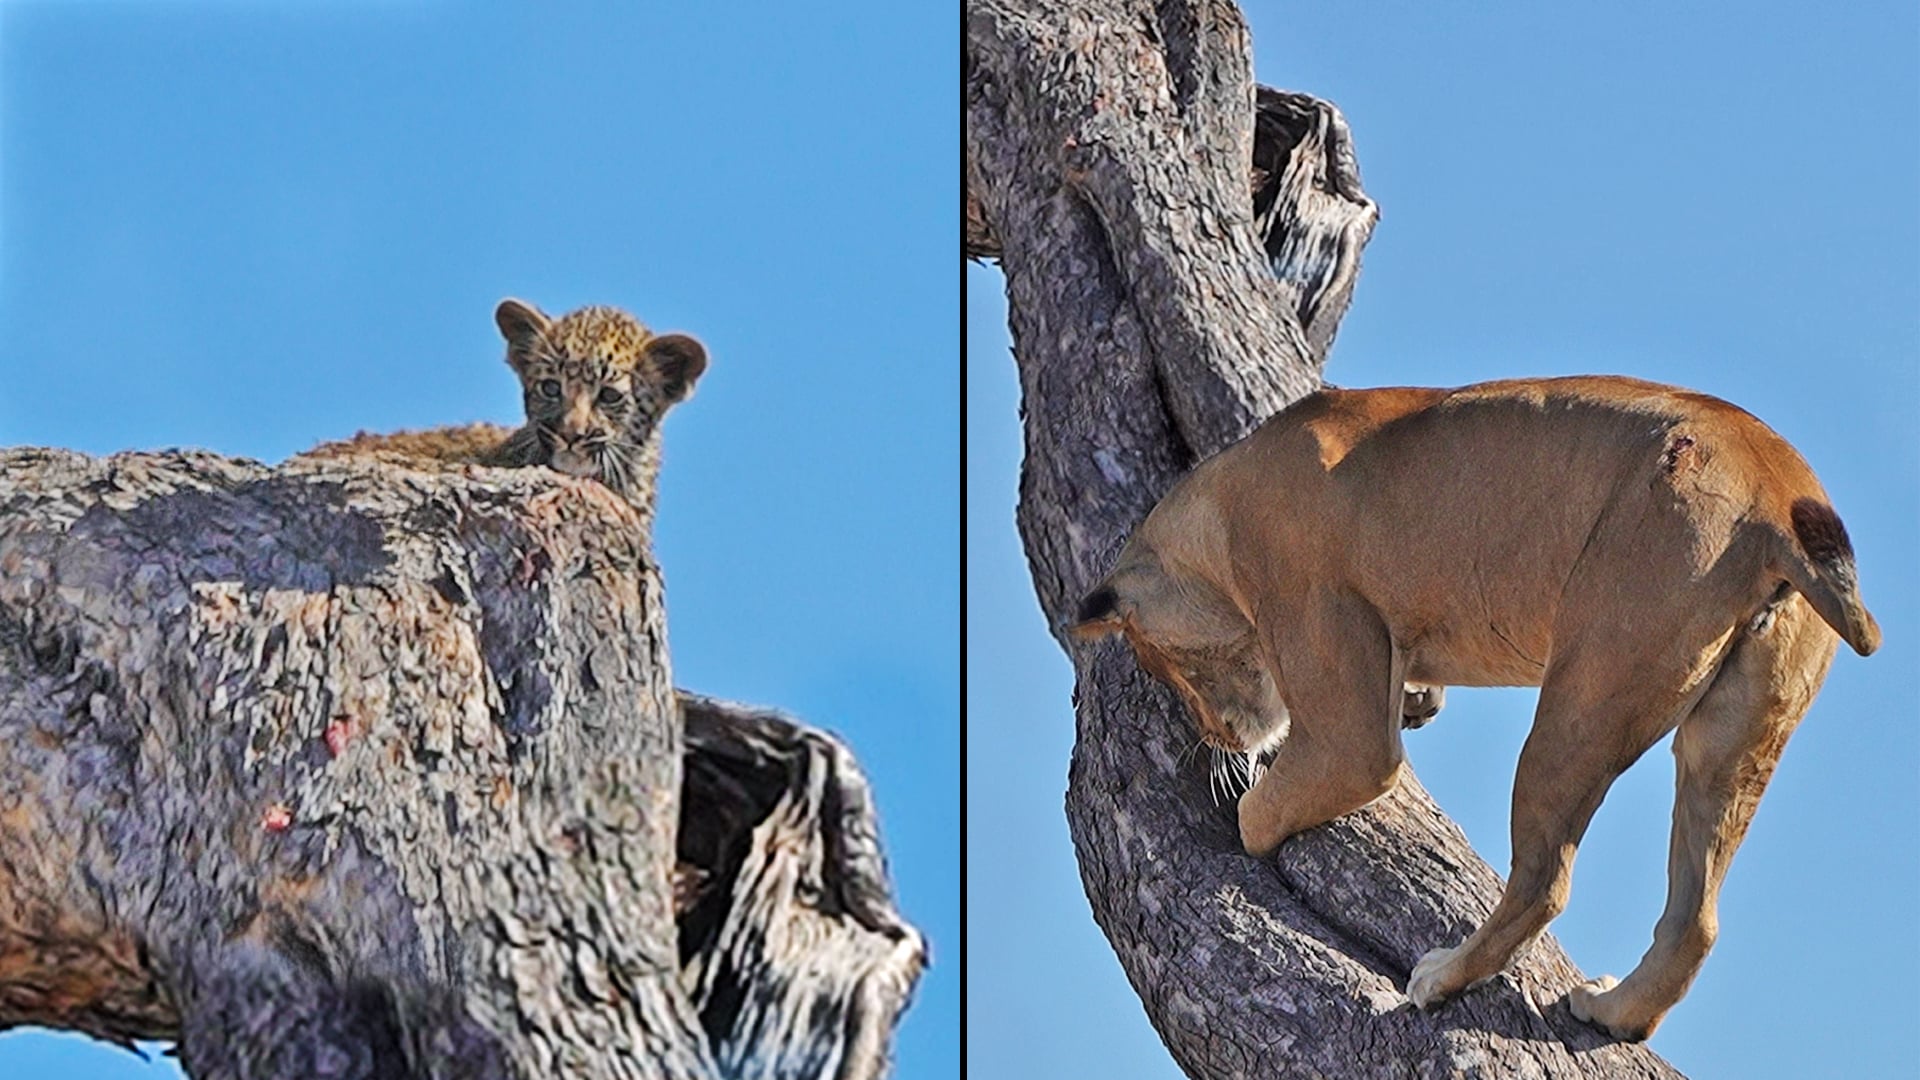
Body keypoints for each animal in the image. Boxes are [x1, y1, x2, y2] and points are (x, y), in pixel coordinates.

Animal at [1071, 375, 1878, 1040]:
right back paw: (1613, 1011)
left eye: (1166, 666)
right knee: (1696, 919)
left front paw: (1250, 815)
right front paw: (1418, 699)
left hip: (1585, 693)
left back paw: (1441, 979)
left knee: (1544, 881)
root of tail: (1776, 497)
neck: (1218, 504)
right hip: (1733, 740)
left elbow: (1276, 802)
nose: (1218, 736)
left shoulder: (1345, 729)